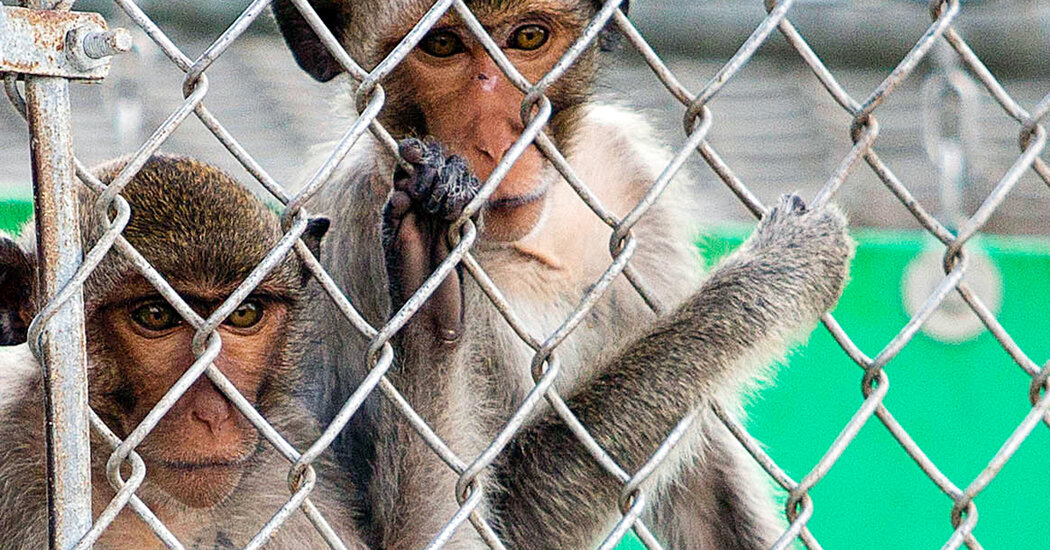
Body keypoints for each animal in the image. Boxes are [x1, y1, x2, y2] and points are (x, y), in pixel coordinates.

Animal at [272, 1, 854, 548]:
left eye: (529, 37)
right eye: (439, 45)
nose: (498, 142)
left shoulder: (630, 177)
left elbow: (704, 477)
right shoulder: (357, 237)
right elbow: (499, 513)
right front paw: (776, 269)